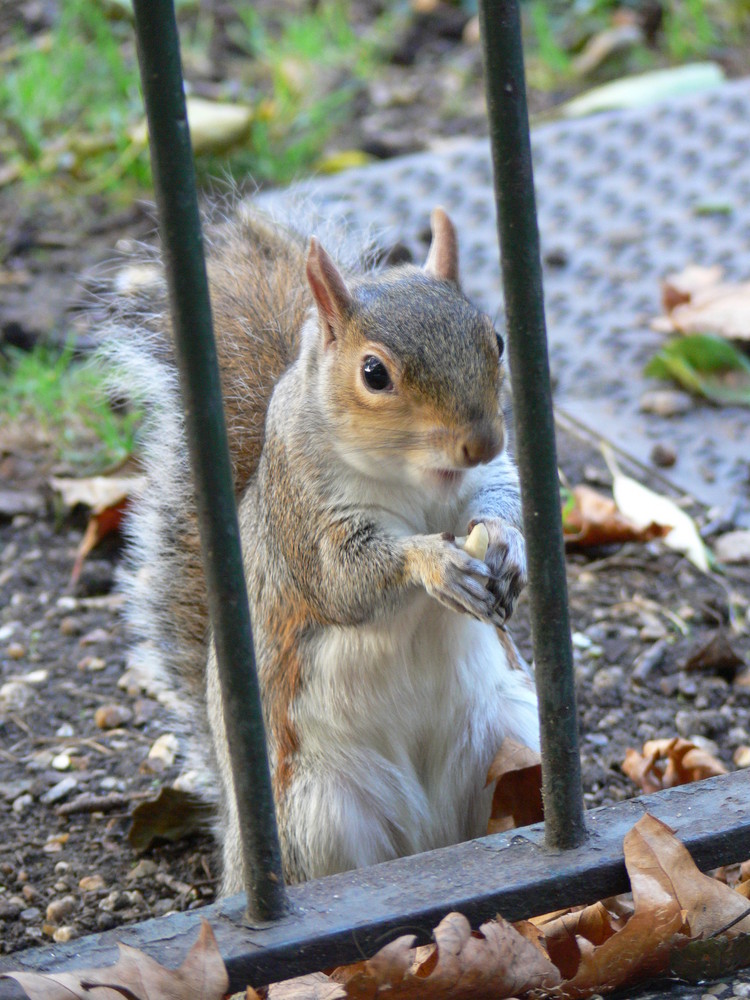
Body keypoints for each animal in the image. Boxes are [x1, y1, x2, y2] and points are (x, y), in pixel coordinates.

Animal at [111, 201, 536, 892]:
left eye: (495, 340)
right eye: (374, 373)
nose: (480, 441)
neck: (421, 482)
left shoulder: (488, 479)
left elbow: (502, 499)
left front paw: (509, 545)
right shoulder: (304, 518)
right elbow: (345, 578)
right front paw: (434, 563)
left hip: (512, 738)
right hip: (317, 814)